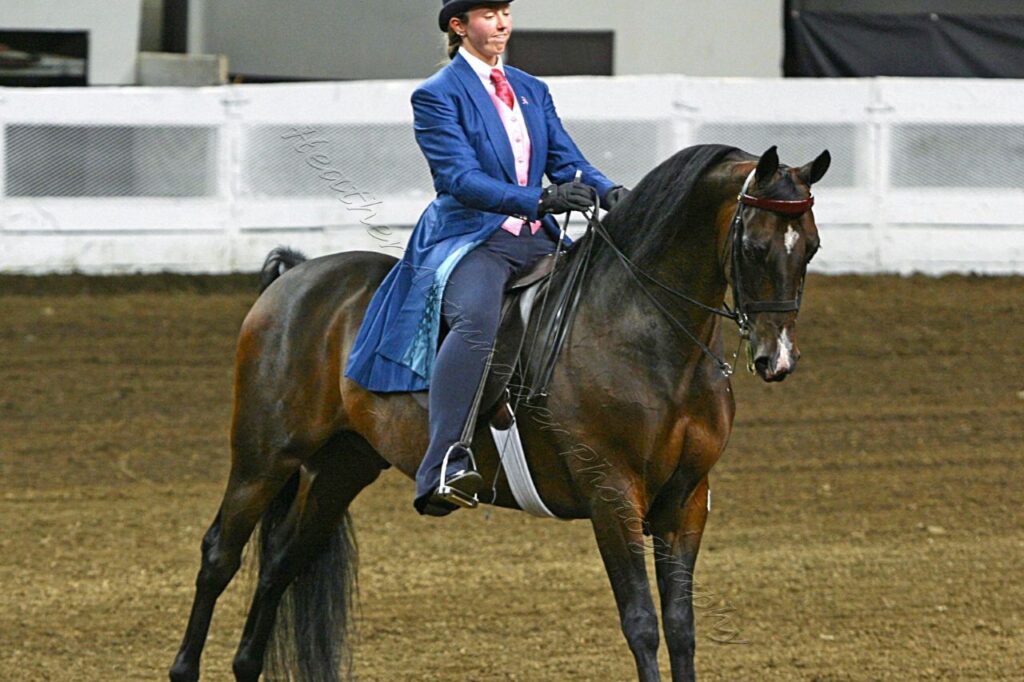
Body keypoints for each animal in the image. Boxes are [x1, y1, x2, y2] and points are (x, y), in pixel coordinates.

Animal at [169, 143, 830, 682]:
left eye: (812, 247)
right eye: (755, 246)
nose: (776, 357)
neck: (644, 333)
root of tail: (294, 279)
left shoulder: (685, 500)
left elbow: (682, 627)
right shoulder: (612, 494)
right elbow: (642, 623)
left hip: (340, 467)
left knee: (281, 565)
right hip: (263, 460)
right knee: (219, 557)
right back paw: (184, 667)